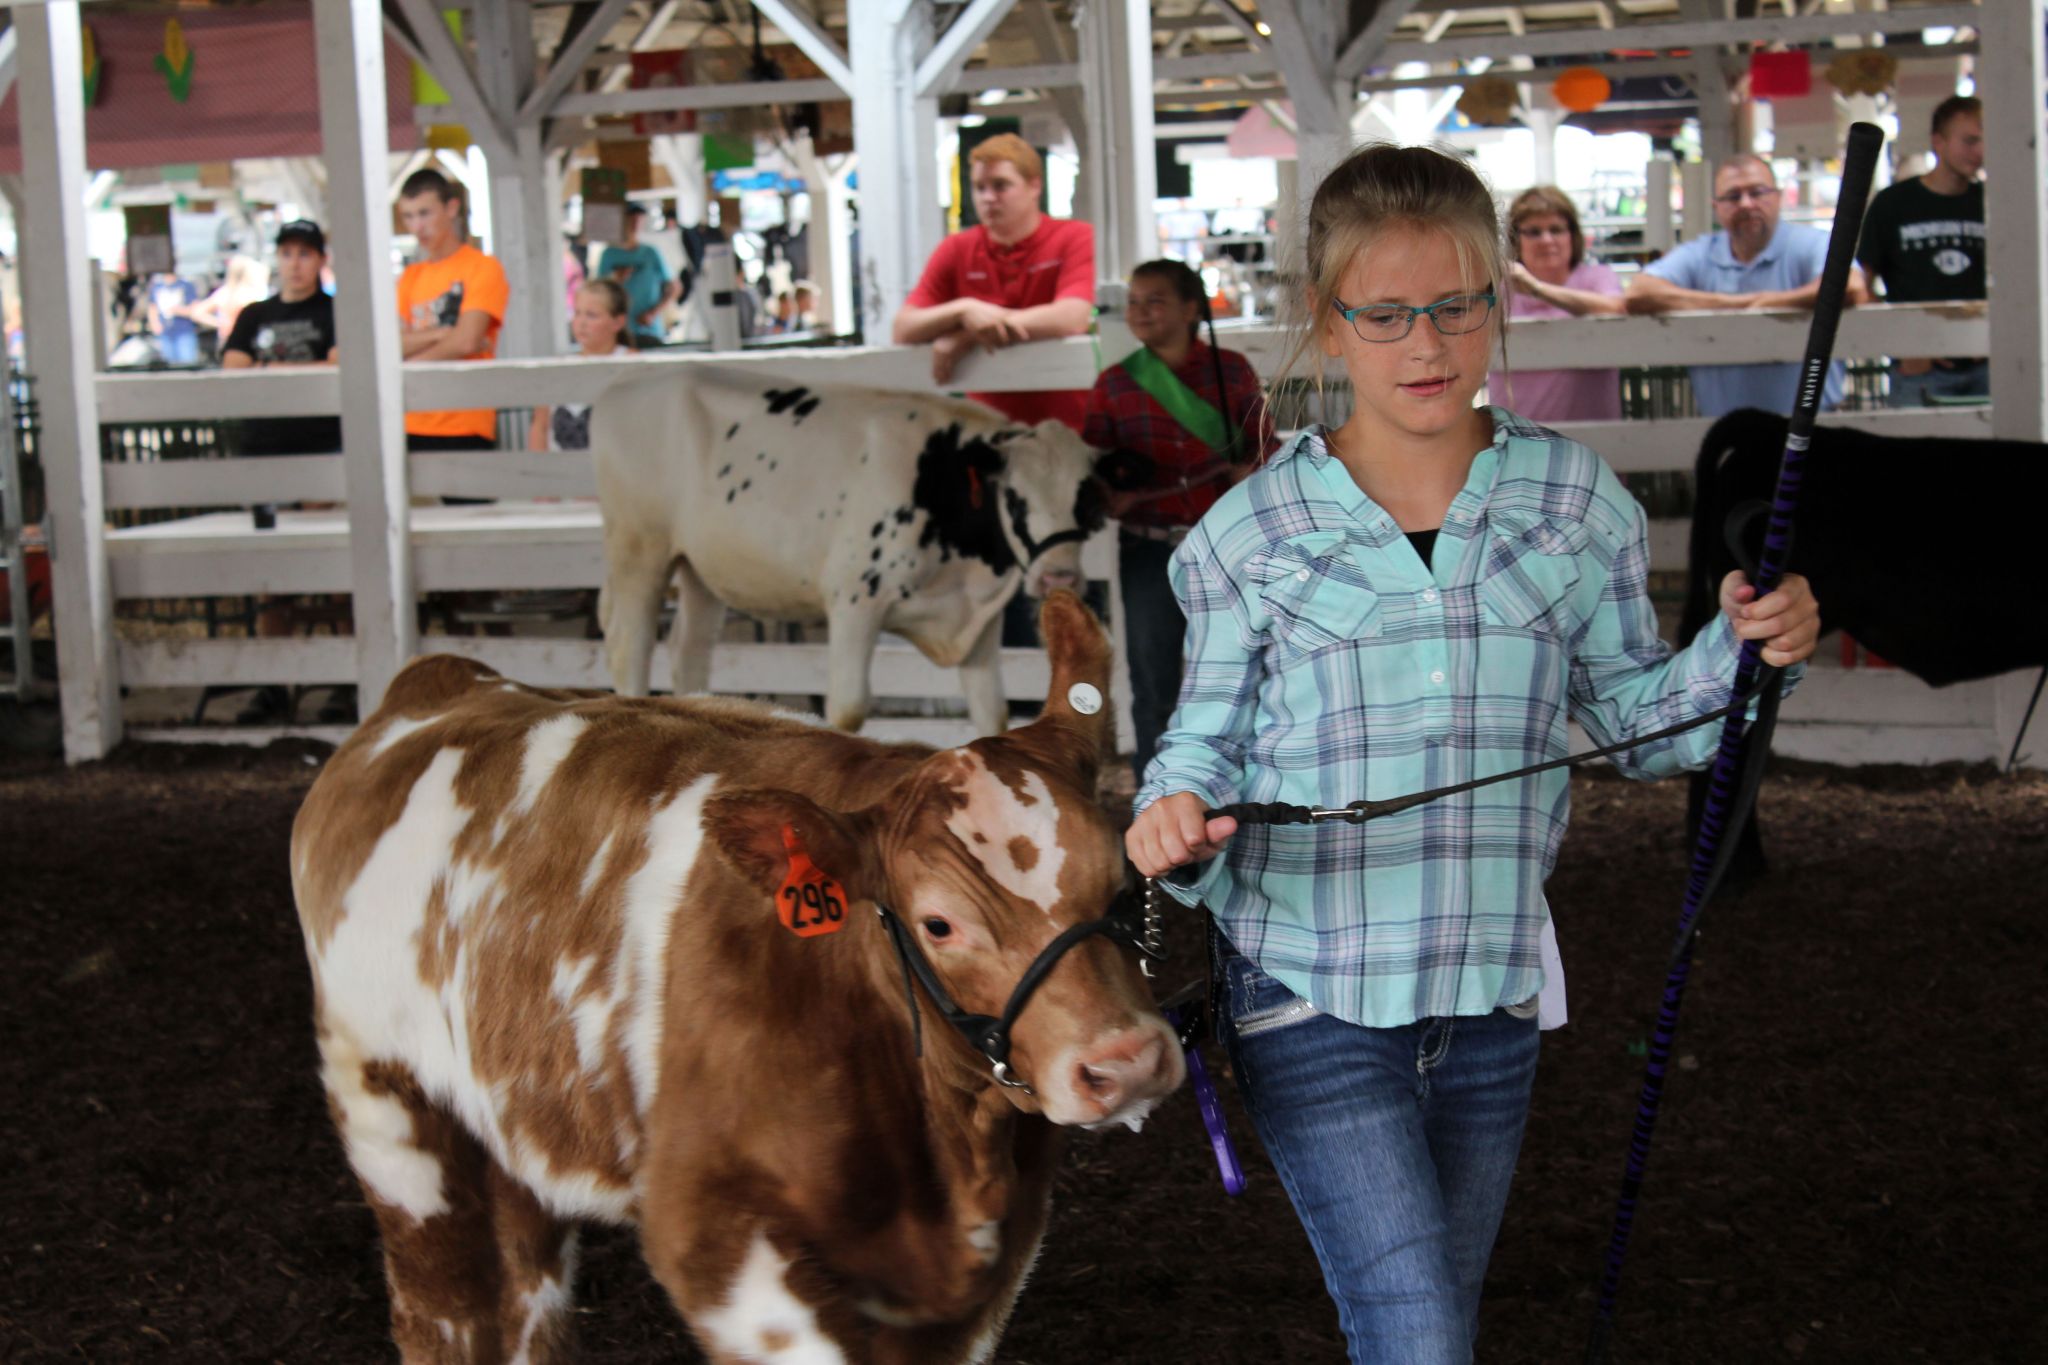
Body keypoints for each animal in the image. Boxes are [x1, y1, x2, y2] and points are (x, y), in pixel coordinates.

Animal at [292, 593, 1187, 1358]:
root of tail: (445, 677)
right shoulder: (713, 1235)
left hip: (514, 1138)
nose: (1126, 1061)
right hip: (393, 1119)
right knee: (442, 1308)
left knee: (525, 1304)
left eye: (1123, 876)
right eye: (939, 922)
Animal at [593, 370, 1105, 736]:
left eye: (1086, 499)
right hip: (639, 551)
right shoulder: (854, 600)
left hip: (700, 571)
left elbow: (991, 712)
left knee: (689, 651)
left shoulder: (981, 621)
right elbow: (848, 709)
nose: (1058, 577)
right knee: (629, 647)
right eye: (1016, 498)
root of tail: (621, 386)